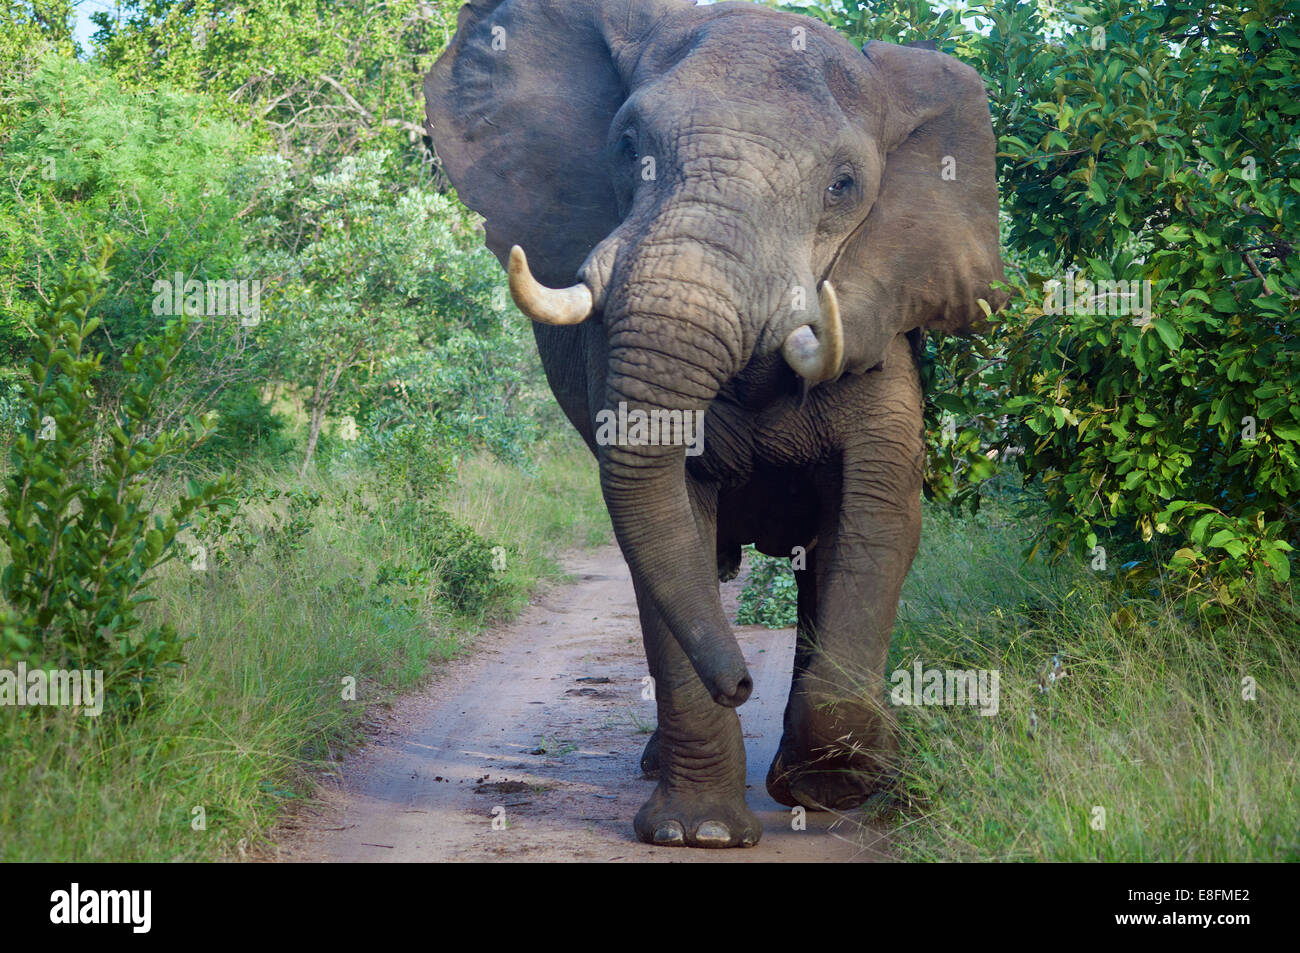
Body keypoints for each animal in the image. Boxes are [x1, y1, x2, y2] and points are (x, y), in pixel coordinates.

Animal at [426, 0, 1003, 847]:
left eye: (843, 185)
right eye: (626, 147)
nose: (739, 682)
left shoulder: (882, 314)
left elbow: (877, 516)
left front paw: (837, 780)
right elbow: (674, 521)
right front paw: (698, 833)